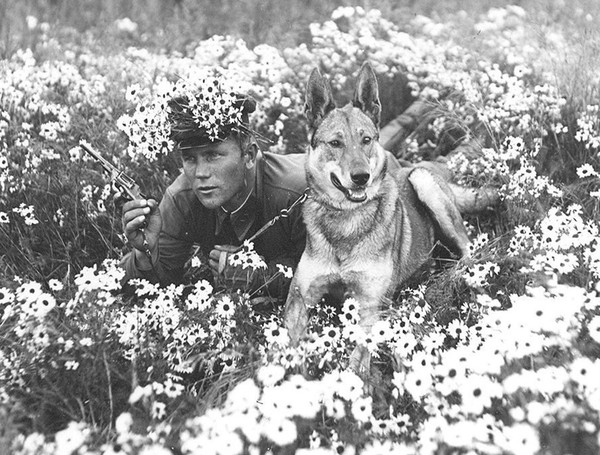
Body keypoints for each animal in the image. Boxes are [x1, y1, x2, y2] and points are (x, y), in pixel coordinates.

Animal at [284, 62, 476, 372]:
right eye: (335, 143)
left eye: (366, 140)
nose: (361, 177)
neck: (347, 219)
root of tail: (416, 165)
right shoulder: (299, 298)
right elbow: (285, 346)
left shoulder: (370, 304)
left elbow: (356, 358)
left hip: (424, 182)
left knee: (469, 247)